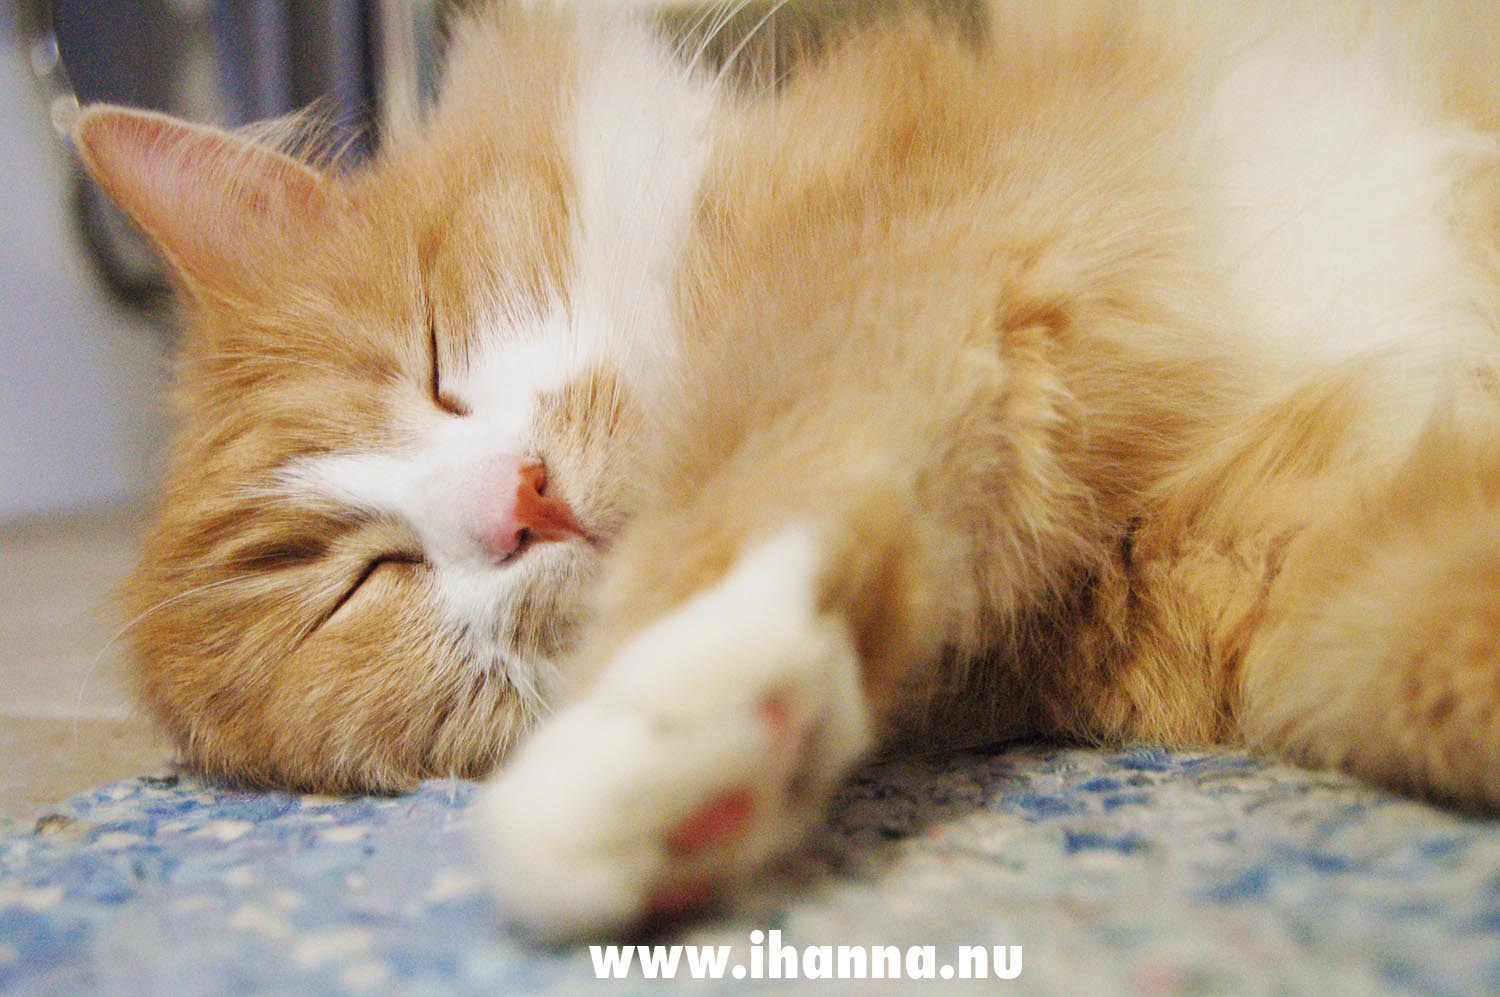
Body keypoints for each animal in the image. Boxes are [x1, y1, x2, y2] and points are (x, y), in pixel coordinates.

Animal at [76, 0, 1500, 935]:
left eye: (431, 358)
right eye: (364, 586)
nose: (517, 503)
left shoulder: (909, 264)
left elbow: (767, 471)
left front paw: (642, 722)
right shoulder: (1296, 565)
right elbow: (1427, 643)